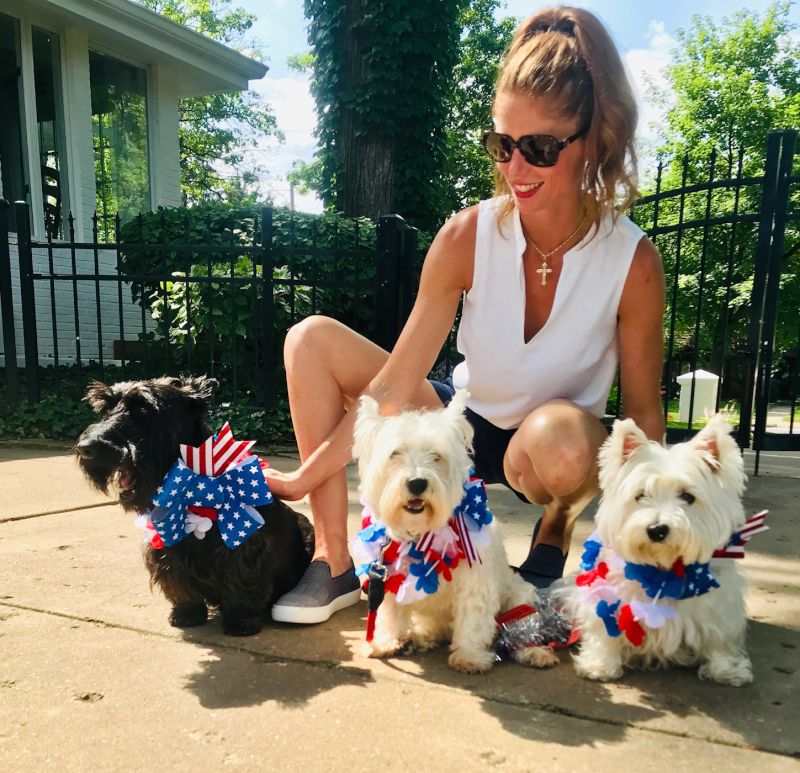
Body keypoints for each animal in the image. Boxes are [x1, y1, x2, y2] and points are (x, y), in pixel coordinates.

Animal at [76, 375, 314, 636]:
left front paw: (241, 621)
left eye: (144, 409)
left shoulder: (244, 547)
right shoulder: (169, 550)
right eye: (104, 409)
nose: (85, 448)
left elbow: (242, 583)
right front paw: (187, 613)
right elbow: (180, 584)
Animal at [351, 390, 558, 673]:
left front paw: (470, 657)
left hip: (519, 598)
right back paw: (421, 637)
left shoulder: (475, 581)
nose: (417, 483)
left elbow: (473, 618)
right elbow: (390, 612)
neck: (421, 533)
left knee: (522, 627)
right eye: (395, 453)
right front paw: (386, 641)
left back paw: (536, 652)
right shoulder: (387, 576)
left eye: (436, 455)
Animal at [557, 415, 754, 686]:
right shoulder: (608, 596)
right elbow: (603, 630)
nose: (657, 530)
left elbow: (720, 636)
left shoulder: (719, 603)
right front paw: (599, 665)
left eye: (687, 496)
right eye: (641, 495)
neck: (664, 569)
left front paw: (727, 670)